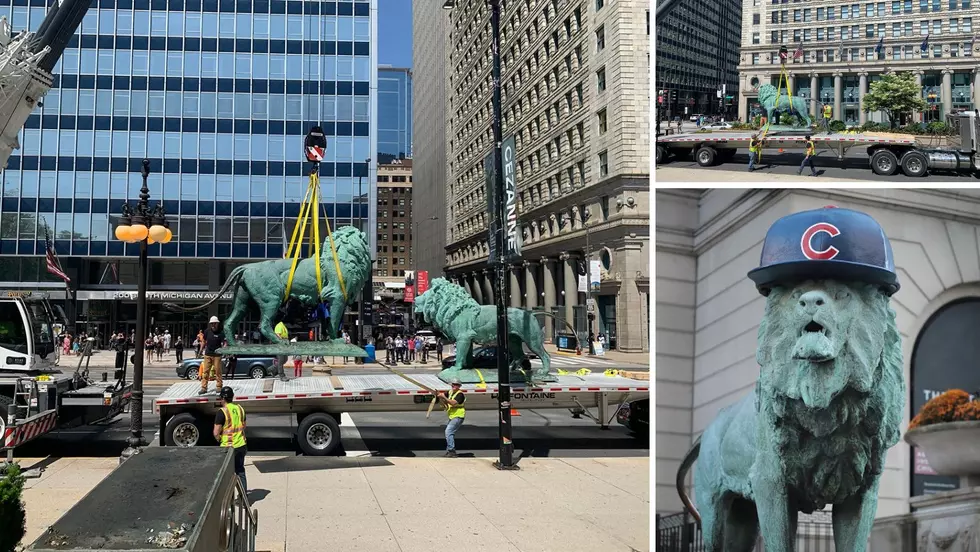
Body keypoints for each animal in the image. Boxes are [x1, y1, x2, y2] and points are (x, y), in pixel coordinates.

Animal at [168, 225, 372, 344]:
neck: (345, 255)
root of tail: (247, 266)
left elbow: (329, 321)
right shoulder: (337, 295)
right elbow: (334, 321)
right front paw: (337, 341)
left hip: (243, 301)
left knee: (229, 322)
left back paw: (235, 345)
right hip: (272, 298)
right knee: (264, 324)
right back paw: (281, 342)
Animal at [414, 278, 552, 382]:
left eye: (425, 294)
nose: (414, 299)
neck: (452, 308)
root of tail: (531, 314)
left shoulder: (463, 337)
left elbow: (459, 355)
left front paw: (455, 368)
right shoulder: (467, 338)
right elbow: (466, 355)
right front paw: (467, 367)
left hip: (532, 340)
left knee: (545, 356)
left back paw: (543, 373)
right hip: (513, 340)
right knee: (520, 355)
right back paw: (510, 370)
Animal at [676, 282, 900, 548]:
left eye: (843, 293)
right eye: (795, 295)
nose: (810, 301)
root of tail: (706, 431)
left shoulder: (862, 486)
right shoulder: (769, 481)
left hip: (742, 511)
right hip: (711, 501)